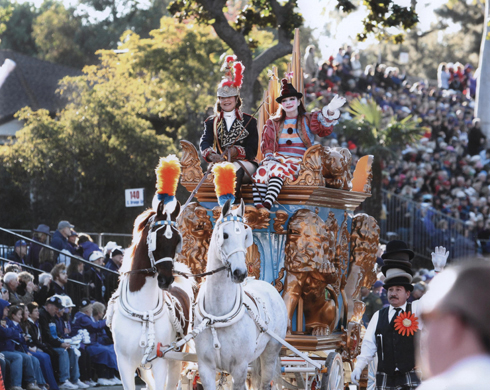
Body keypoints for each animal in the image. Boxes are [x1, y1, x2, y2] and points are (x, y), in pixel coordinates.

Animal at [109, 201, 193, 390]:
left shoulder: (161, 361)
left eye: (177, 240)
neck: (142, 309)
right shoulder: (125, 364)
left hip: (175, 359)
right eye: (157, 238)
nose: (166, 279)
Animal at [194, 201, 290, 390]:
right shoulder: (205, 368)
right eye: (225, 235)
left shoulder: (239, 368)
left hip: (271, 352)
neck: (219, 315)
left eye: (246, 236)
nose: (240, 273)